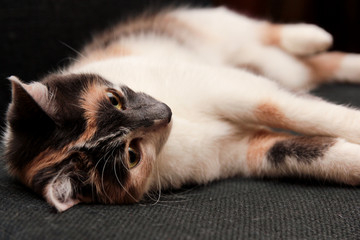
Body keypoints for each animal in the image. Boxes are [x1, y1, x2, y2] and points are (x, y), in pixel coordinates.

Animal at [4, 6, 360, 212]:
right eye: (131, 155)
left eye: (114, 99)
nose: (165, 112)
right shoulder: (240, 151)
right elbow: (304, 152)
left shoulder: (231, 86)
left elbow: (284, 110)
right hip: (283, 70)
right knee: (314, 67)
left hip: (215, 28)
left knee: (260, 31)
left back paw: (312, 36)